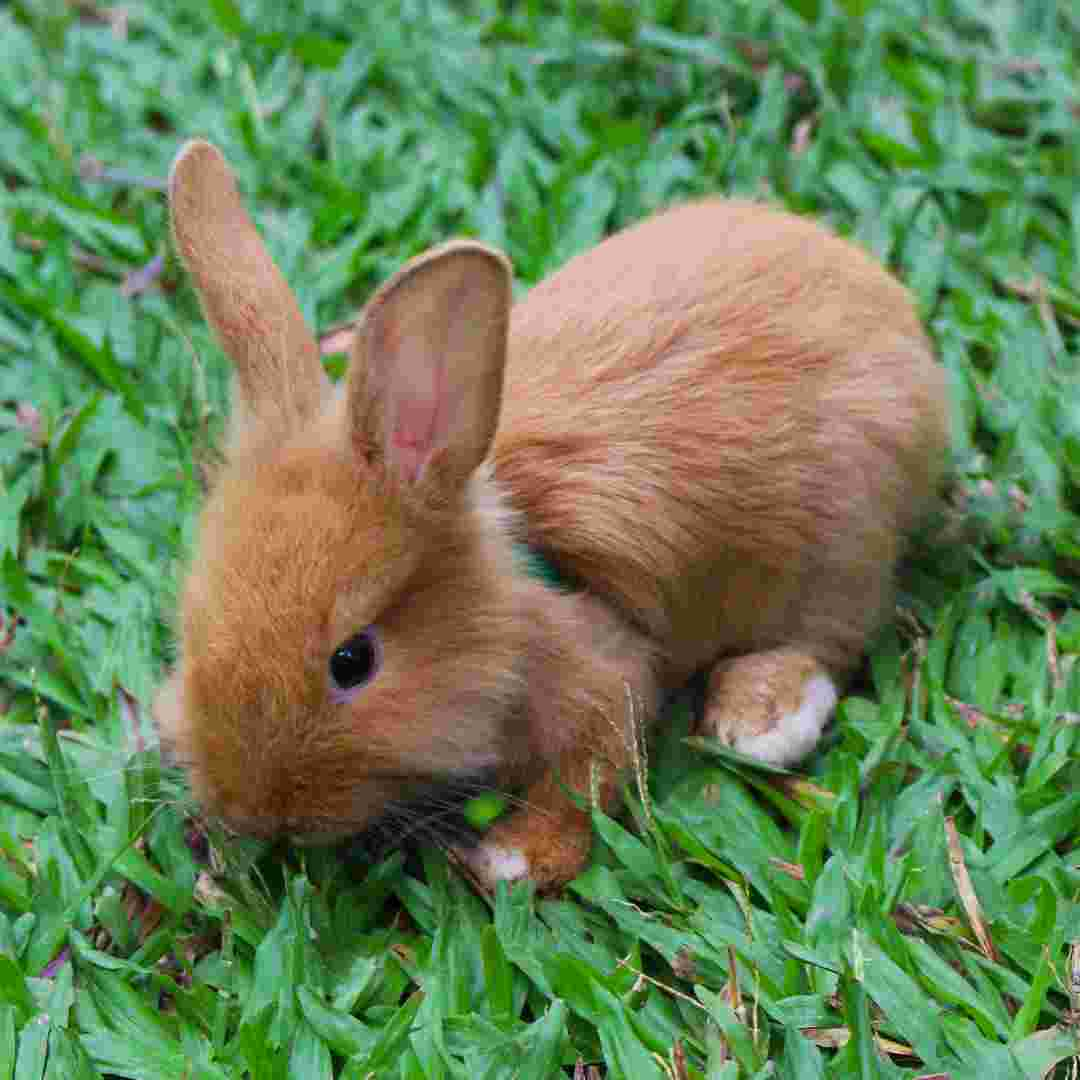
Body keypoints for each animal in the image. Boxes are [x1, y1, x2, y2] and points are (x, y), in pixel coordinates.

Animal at [156, 139, 950, 889]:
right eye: (193, 627)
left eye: (353, 661)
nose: (249, 810)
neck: (511, 602)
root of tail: (893, 314)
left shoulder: (608, 681)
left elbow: (584, 779)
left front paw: (512, 860)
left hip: (841, 542)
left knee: (828, 635)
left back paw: (759, 719)